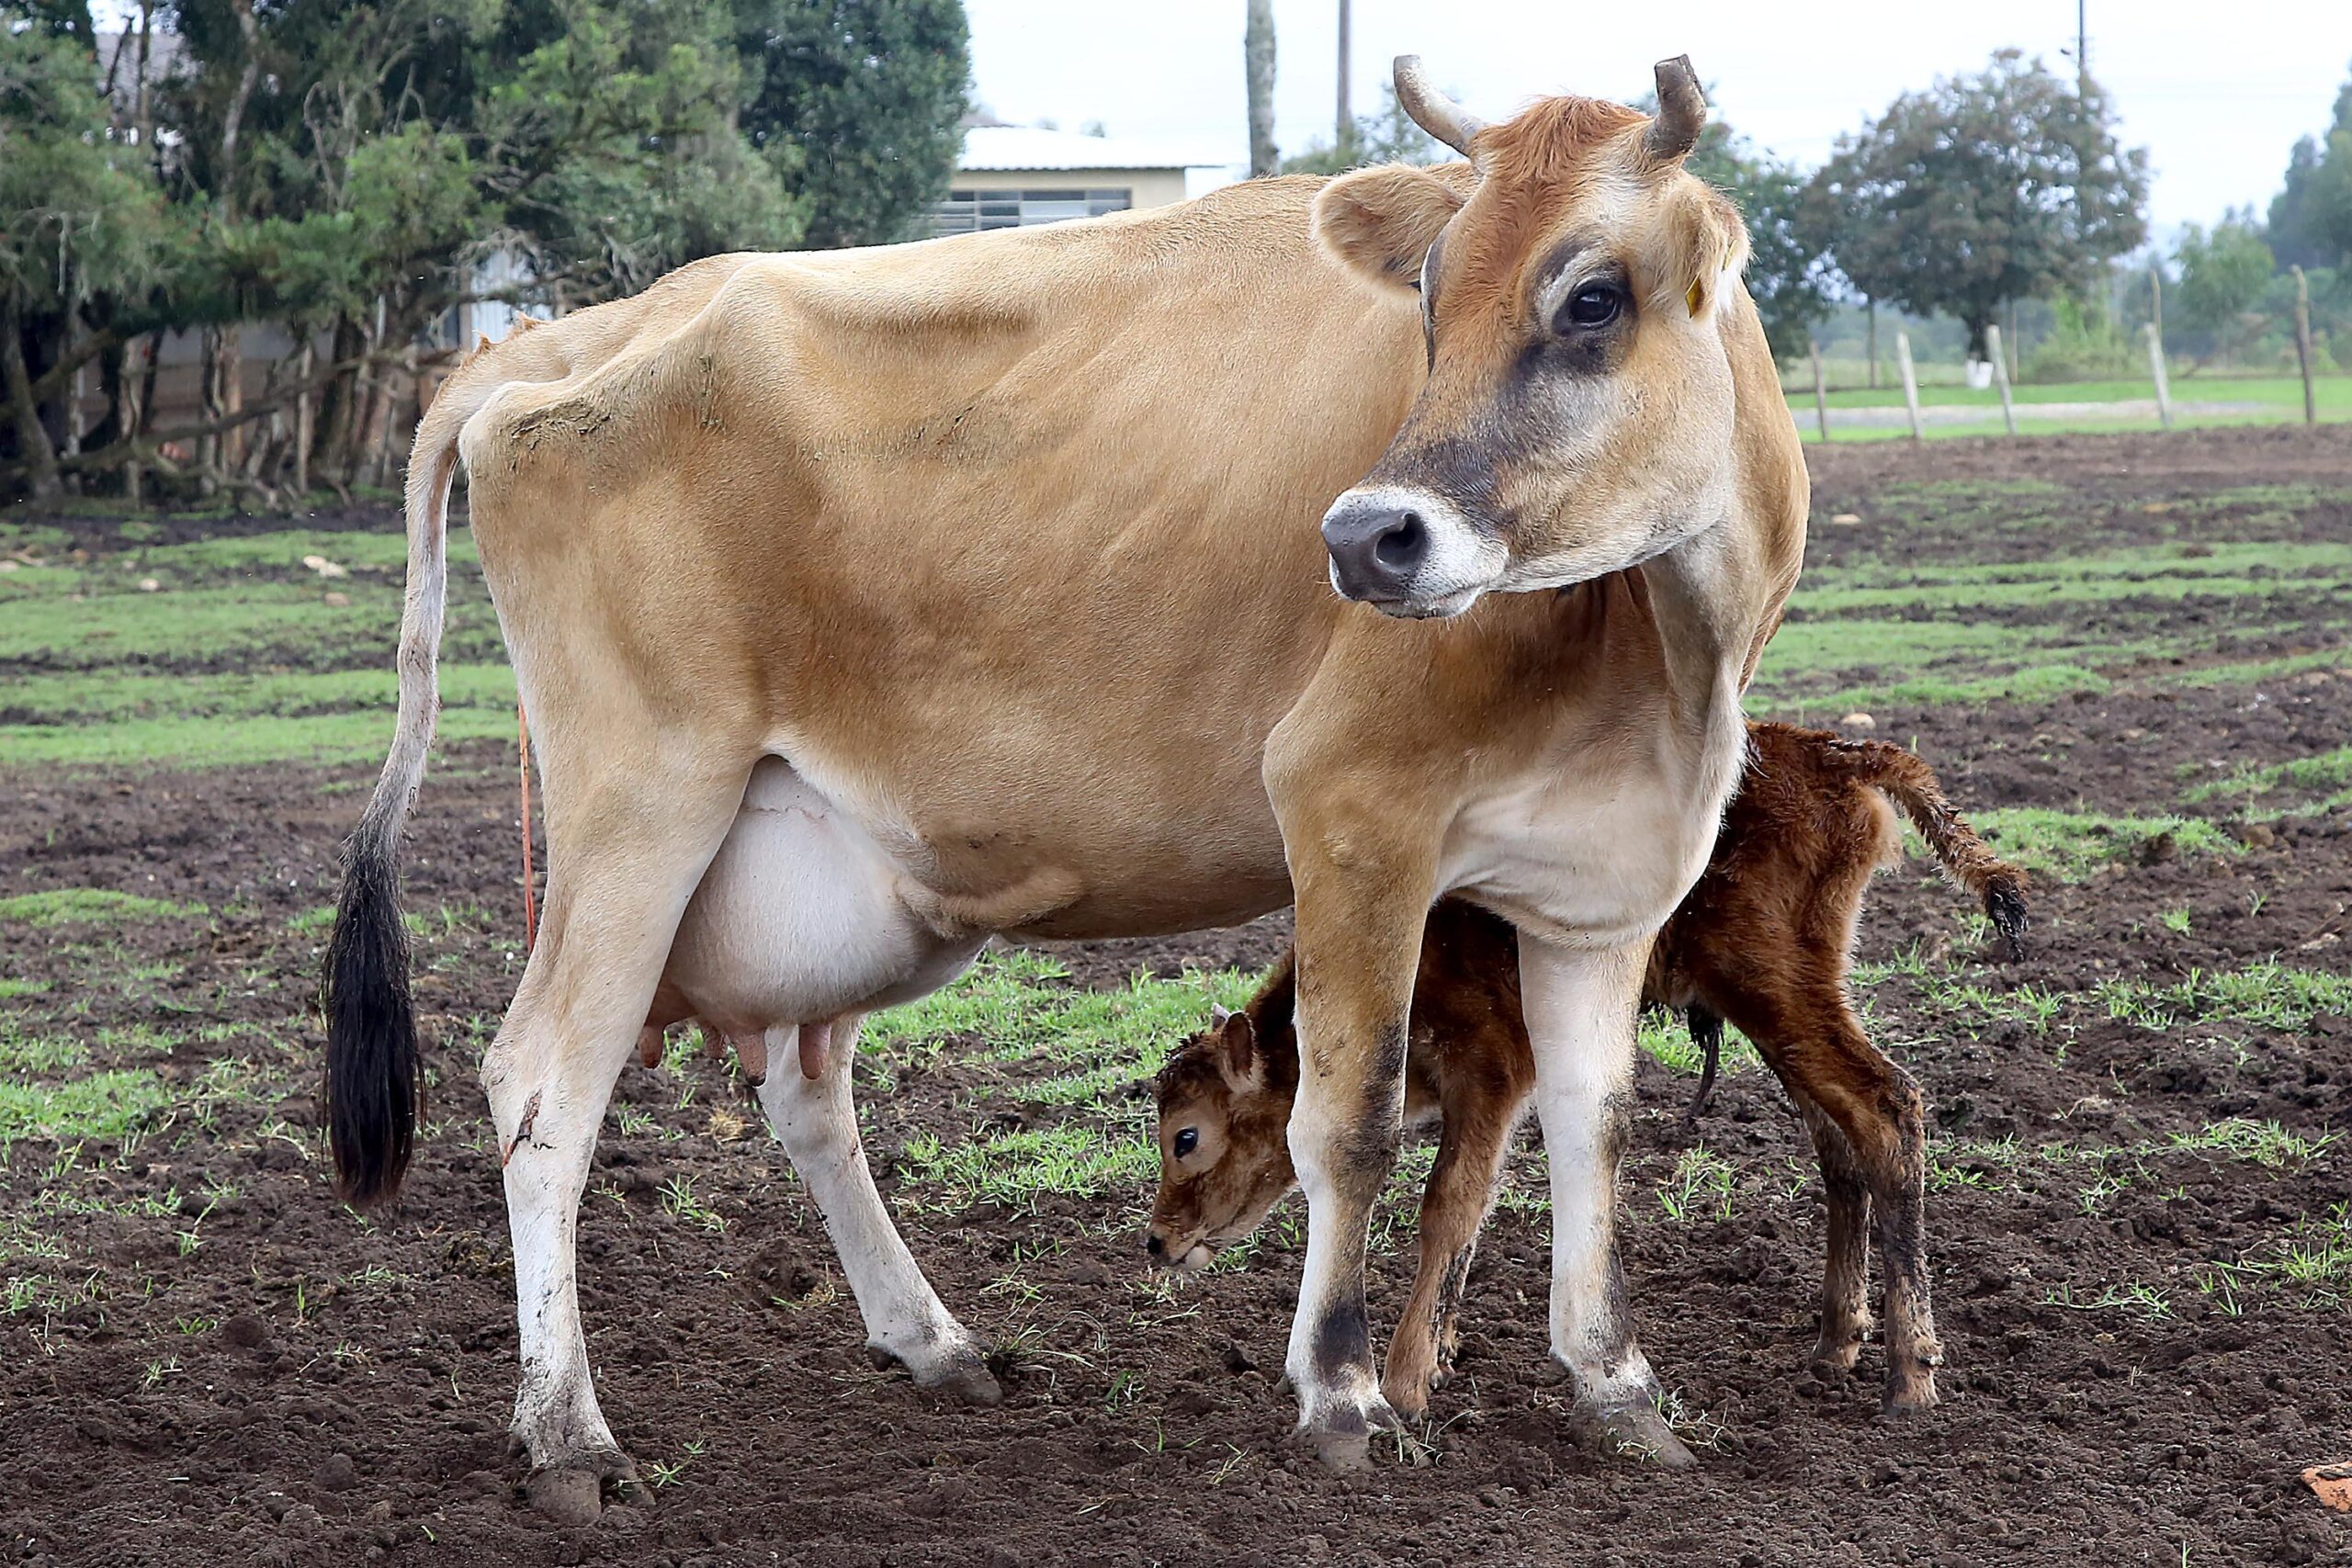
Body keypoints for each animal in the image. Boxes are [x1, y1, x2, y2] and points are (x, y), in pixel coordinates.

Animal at [322, 55, 1806, 1514]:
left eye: (1593, 296)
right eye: (1431, 300)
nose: (1366, 537)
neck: (1661, 663)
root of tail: (563, 336)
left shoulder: (1609, 875)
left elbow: (1595, 1124)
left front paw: (1617, 1386)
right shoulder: (1353, 815)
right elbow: (1351, 1120)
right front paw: (1339, 1397)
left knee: (804, 1087)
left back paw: (930, 1339)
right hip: (642, 806)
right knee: (541, 1086)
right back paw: (568, 1433)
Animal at [1152, 724, 2022, 1419]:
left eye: (1187, 1135)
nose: (1159, 1242)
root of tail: (1829, 752)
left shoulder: (1491, 1074)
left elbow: (1451, 1205)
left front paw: (1405, 1383)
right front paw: (1443, 1350)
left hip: (1776, 991)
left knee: (1886, 1107)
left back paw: (1910, 1378)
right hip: (1786, 1006)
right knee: (1838, 1141)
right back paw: (1836, 1345)